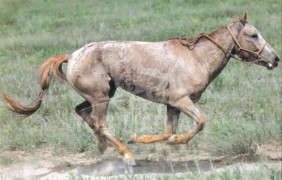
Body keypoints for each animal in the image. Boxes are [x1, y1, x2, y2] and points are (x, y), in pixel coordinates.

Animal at [2, 12, 280, 165]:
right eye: (253, 35)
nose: (275, 59)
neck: (196, 58)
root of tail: (71, 56)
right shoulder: (182, 100)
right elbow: (199, 123)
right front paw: (174, 141)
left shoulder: (172, 104)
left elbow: (167, 132)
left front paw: (141, 138)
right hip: (101, 97)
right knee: (100, 122)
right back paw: (124, 153)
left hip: (101, 94)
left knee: (83, 113)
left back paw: (104, 145)